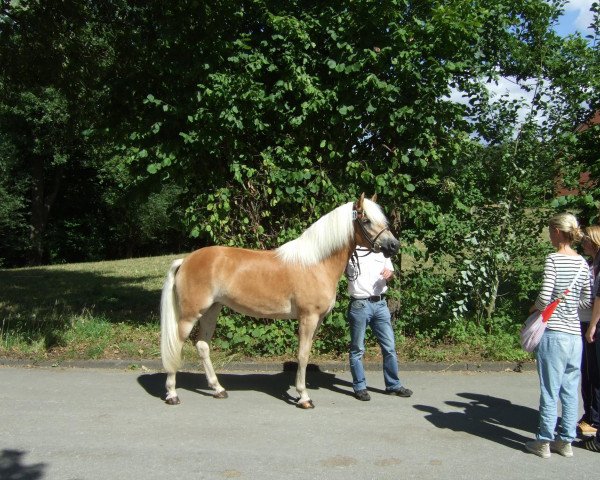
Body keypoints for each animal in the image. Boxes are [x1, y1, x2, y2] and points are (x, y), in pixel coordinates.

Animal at [162, 193, 400, 406]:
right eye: (366, 220)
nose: (394, 246)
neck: (316, 263)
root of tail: (185, 260)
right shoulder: (308, 318)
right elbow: (302, 356)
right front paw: (304, 397)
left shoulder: (317, 320)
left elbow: (306, 353)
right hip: (189, 315)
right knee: (177, 345)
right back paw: (172, 394)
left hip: (212, 310)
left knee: (202, 346)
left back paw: (218, 389)